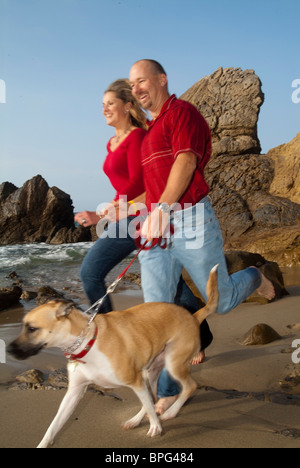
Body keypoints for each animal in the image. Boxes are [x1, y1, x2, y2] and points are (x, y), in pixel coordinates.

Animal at [7, 266, 218, 448]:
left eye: (32, 328)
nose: (8, 350)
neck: (86, 342)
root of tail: (193, 316)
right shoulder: (74, 392)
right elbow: (53, 427)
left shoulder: (134, 381)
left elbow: (151, 407)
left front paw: (156, 427)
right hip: (151, 371)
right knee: (152, 397)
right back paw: (136, 420)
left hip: (173, 364)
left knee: (189, 387)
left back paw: (170, 413)